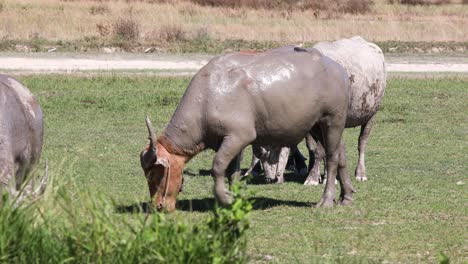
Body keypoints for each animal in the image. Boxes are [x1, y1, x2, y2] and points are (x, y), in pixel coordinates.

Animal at [141, 48, 352, 211]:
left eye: (156, 173)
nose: (158, 206)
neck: (207, 98)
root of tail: (337, 68)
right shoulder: (231, 141)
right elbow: (232, 172)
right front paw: (235, 198)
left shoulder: (238, 137)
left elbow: (218, 166)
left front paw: (224, 198)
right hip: (317, 125)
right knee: (341, 154)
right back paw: (346, 196)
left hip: (332, 120)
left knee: (332, 158)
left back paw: (326, 200)